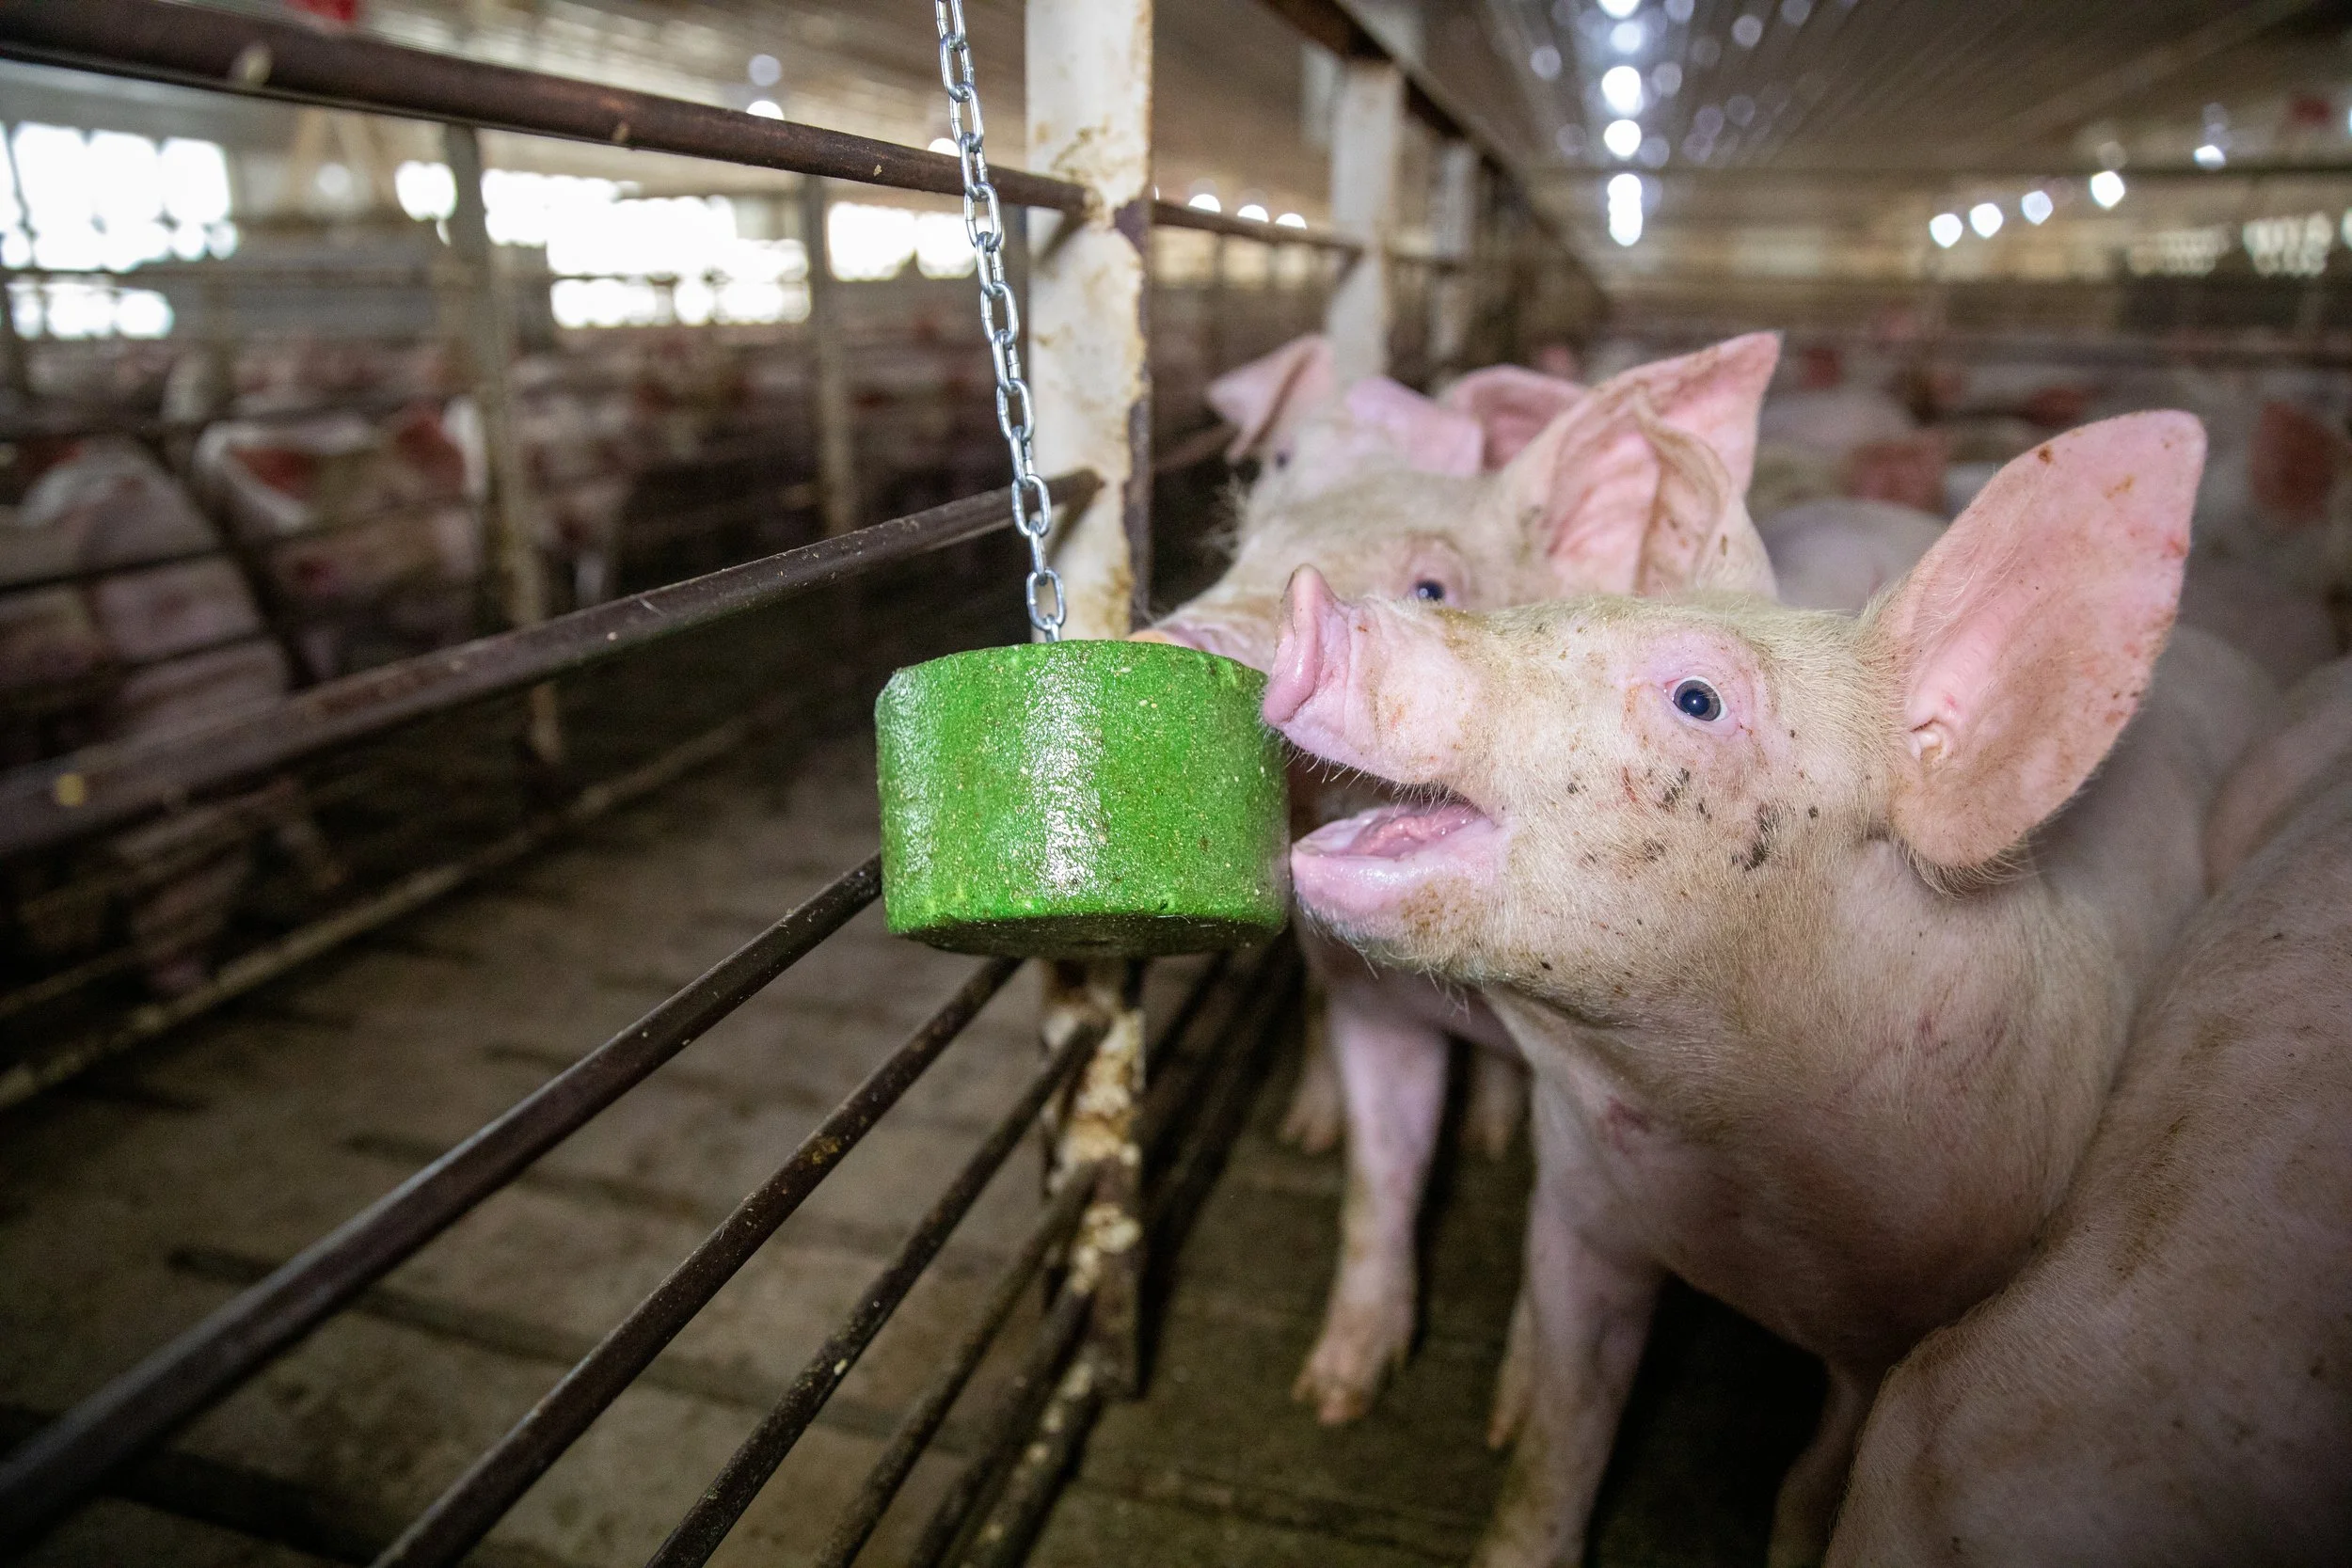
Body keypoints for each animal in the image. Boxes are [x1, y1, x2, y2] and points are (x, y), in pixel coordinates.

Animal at [1147, 331, 1781, 1423]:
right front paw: (1331, 1396)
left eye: (1433, 592)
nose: (1157, 647)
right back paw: (1310, 1129)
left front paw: (1512, 1418)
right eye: (1241, 547)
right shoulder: (1370, 1000)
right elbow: (1381, 1176)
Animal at [1260, 412, 2278, 1565]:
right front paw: (1344, 1412)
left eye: (1697, 699)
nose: (1313, 605)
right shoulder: (1580, 1210)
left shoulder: (1909, 1323)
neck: (1720, 1160)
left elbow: (1807, 1487)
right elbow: (1562, 1435)